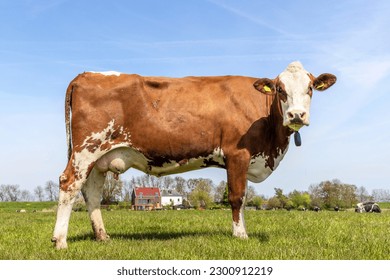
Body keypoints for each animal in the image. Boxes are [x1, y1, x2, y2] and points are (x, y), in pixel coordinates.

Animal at [52, 60, 338, 248]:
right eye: (280, 89)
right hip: (86, 149)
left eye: (310, 88)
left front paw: (242, 230)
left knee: (91, 192)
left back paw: (102, 236)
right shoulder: (237, 154)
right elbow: (237, 197)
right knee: (69, 184)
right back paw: (60, 241)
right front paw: (240, 235)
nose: (297, 115)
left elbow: (243, 197)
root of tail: (85, 75)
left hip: (99, 158)